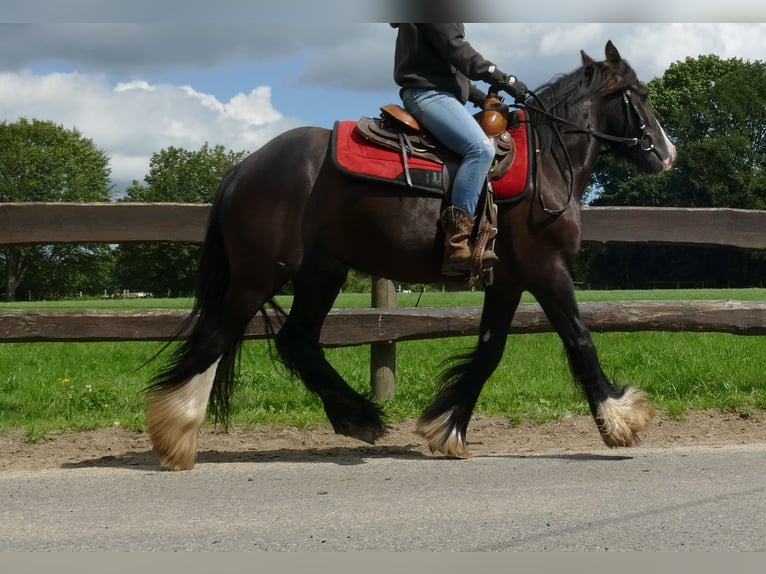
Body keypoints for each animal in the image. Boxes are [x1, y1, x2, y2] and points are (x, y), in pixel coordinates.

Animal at [147, 41, 676, 472]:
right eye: (641, 94)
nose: (667, 153)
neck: (546, 164)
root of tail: (244, 167)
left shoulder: (507, 280)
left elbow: (489, 351)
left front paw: (448, 428)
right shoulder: (547, 271)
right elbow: (580, 339)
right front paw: (621, 420)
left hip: (321, 272)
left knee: (297, 340)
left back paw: (358, 417)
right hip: (258, 276)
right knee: (217, 336)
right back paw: (177, 434)